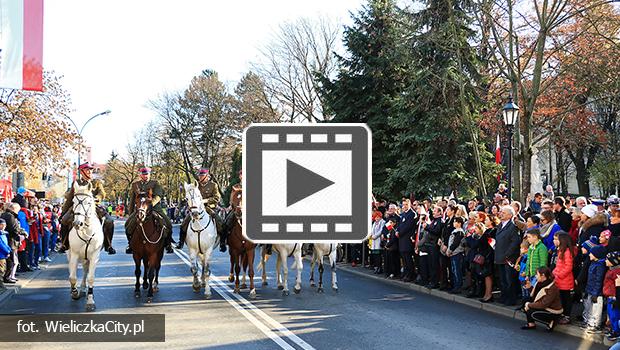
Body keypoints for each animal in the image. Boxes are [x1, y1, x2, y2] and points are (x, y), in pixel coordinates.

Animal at [67, 182, 103, 310]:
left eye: (88, 202)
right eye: (73, 201)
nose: (78, 223)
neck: (86, 230)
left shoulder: (94, 256)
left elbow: (91, 277)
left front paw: (90, 301)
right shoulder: (74, 254)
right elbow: (72, 277)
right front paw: (74, 293)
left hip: (87, 257)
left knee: (85, 270)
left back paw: (83, 289)